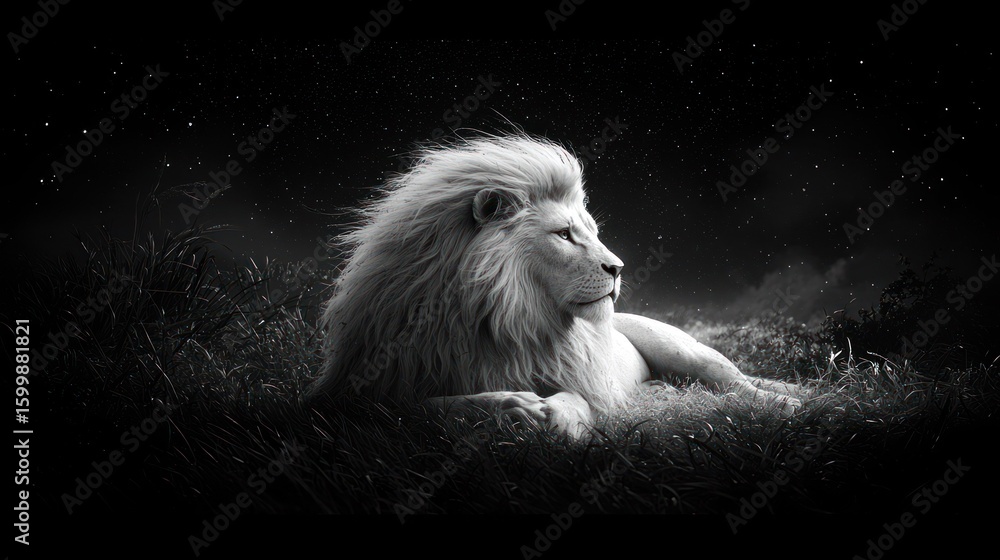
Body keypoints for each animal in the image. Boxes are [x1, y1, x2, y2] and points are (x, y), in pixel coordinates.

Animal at [306, 134, 807, 439]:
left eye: (591, 231)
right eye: (565, 235)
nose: (618, 268)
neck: (500, 318)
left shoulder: (583, 378)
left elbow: (577, 397)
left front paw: (559, 418)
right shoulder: (349, 396)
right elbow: (421, 407)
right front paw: (510, 406)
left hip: (686, 350)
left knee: (736, 384)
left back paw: (791, 404)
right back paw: (661, 394)